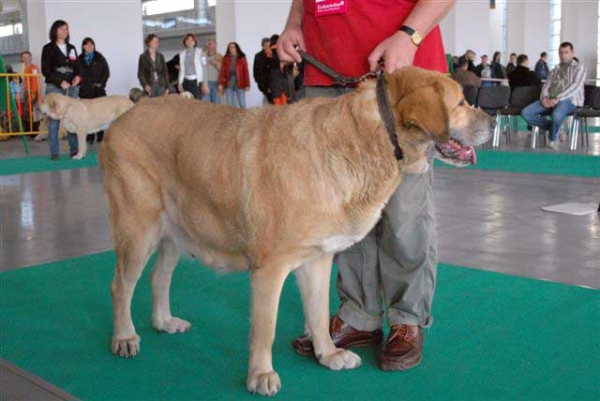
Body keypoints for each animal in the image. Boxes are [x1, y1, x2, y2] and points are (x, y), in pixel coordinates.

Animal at [97, 67, 492, 396]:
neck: (369, 138)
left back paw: (164, 322)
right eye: (460, 102)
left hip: (174, 233)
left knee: (158, 278)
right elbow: (265, 328)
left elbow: (317, 314)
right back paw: (125, 337)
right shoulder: (269, 269)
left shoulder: (317, 260)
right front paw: (260, 376)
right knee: (120, 287)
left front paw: (328, 354)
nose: (491, 120)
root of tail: (124, 115)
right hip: (139, 230)